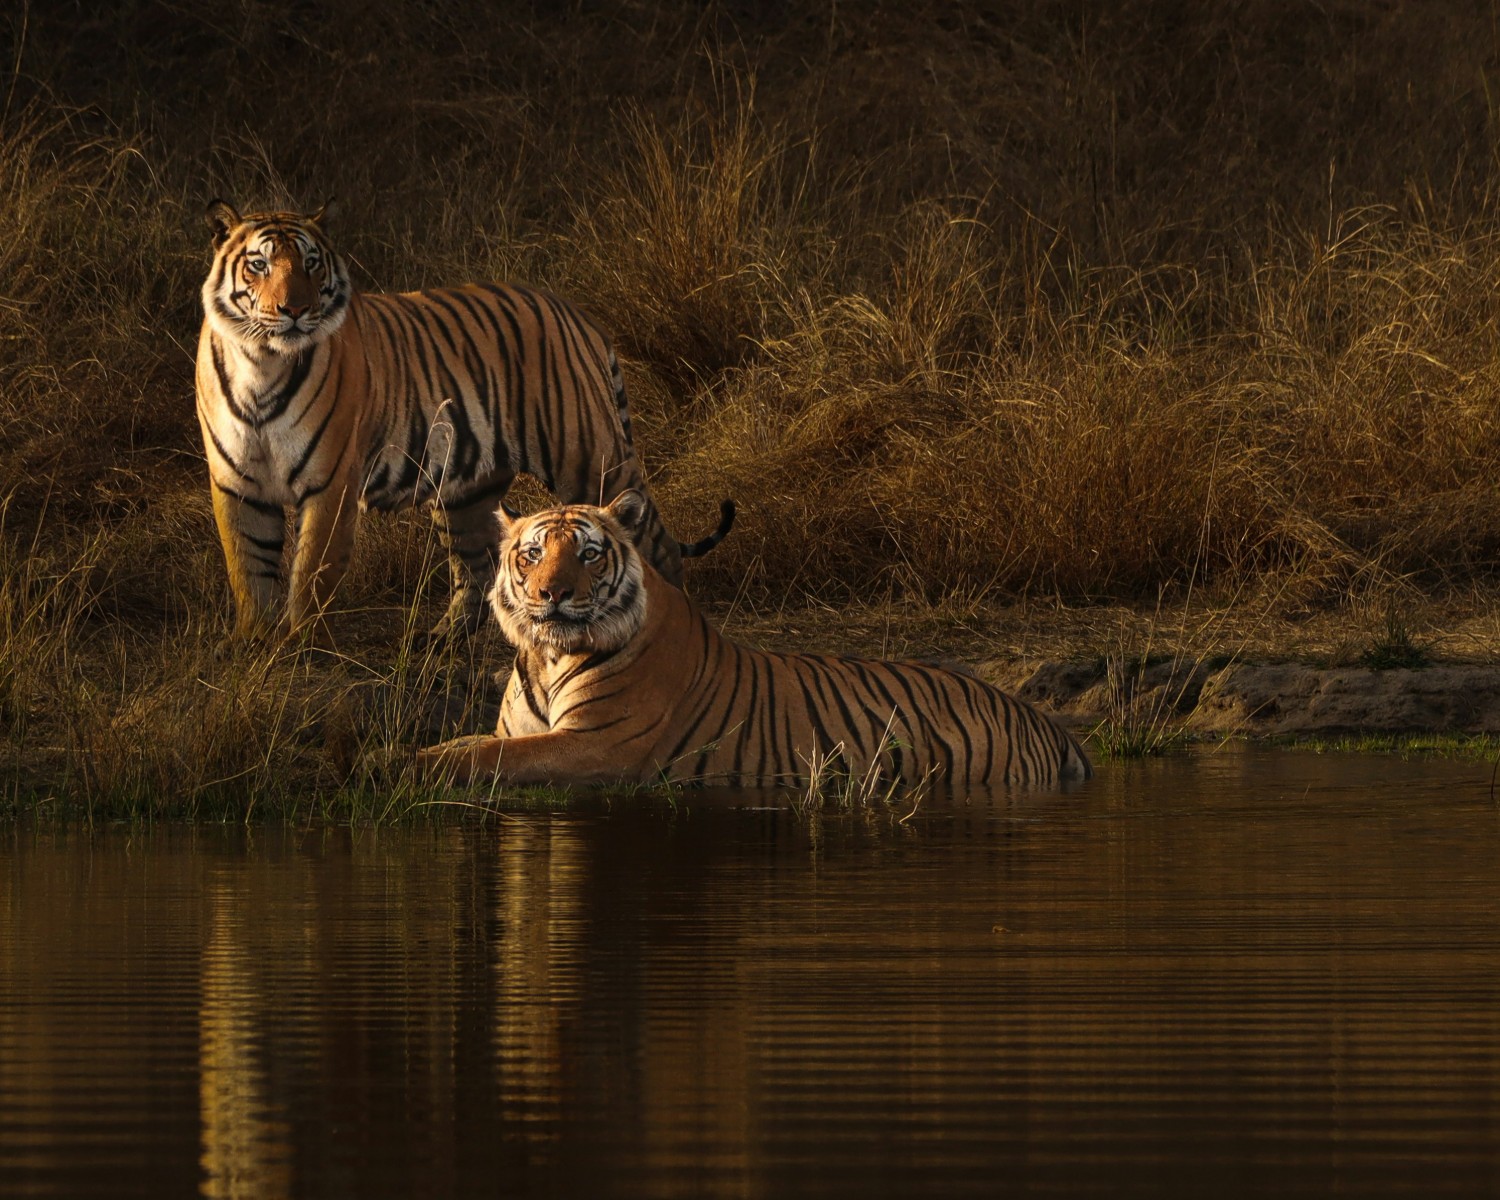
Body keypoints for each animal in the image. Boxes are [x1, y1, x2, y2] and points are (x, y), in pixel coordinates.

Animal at [195, 200, 733, 647]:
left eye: (311, 263)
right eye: (259, 264)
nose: (294, 310)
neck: (262, 364)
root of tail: (577, 314)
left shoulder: (330, 484)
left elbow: (311, 571)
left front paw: (300, 642)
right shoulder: (237, 483)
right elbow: (247, 565)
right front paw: (253, 641)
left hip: (591, 459)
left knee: (654, 546)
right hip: (465, 489)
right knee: (477, 568)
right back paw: (442, 639)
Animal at [414, 493, 1094, 790]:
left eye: (587, 553)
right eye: (532, 554)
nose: (551, 594)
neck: (548, 655)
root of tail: (1043, 719)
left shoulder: (597, 747)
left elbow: (484, 758)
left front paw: (398, 763)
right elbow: (472, 744)